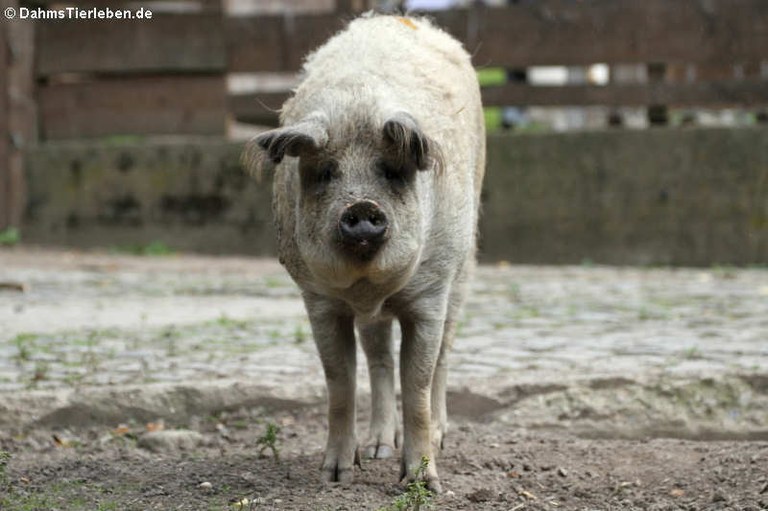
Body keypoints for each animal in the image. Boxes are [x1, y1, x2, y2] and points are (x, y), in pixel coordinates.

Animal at [246, 13, 486, 492]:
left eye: (392, 171)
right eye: (325, 172)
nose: (361, 206)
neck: (365, 287)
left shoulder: (429, 295)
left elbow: (417, 386)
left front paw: (423, 484)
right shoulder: (318, 300)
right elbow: (339, 382)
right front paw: (335, 476)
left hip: (463, 269)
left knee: (444, 354)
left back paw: (441, 436)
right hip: (376, 318)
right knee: (378, 359)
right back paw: (377, 449)